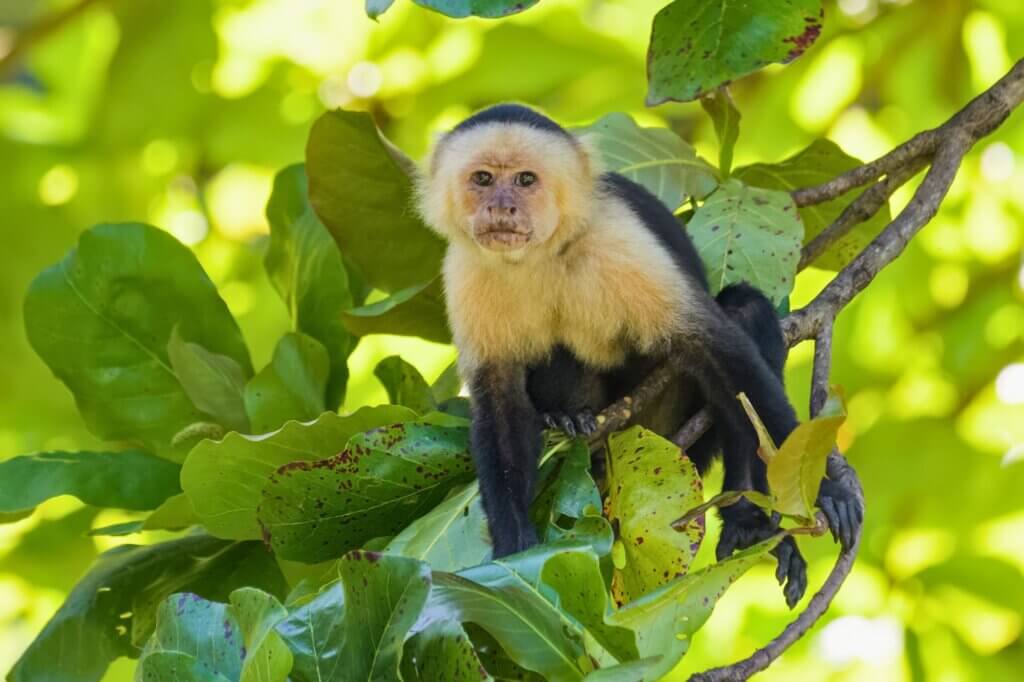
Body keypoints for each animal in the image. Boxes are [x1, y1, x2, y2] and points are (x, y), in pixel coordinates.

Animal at [415, 103, 863, 607]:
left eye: (526, 180)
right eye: (484, 179)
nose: (502, 207)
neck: (541, 254)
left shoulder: (617, 238)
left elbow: (714, 349)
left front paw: (824, 488)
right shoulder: (465, 269)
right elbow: (499, 403)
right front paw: (514, 550)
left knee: (743, 318)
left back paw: (747, 514)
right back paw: (570, 419)